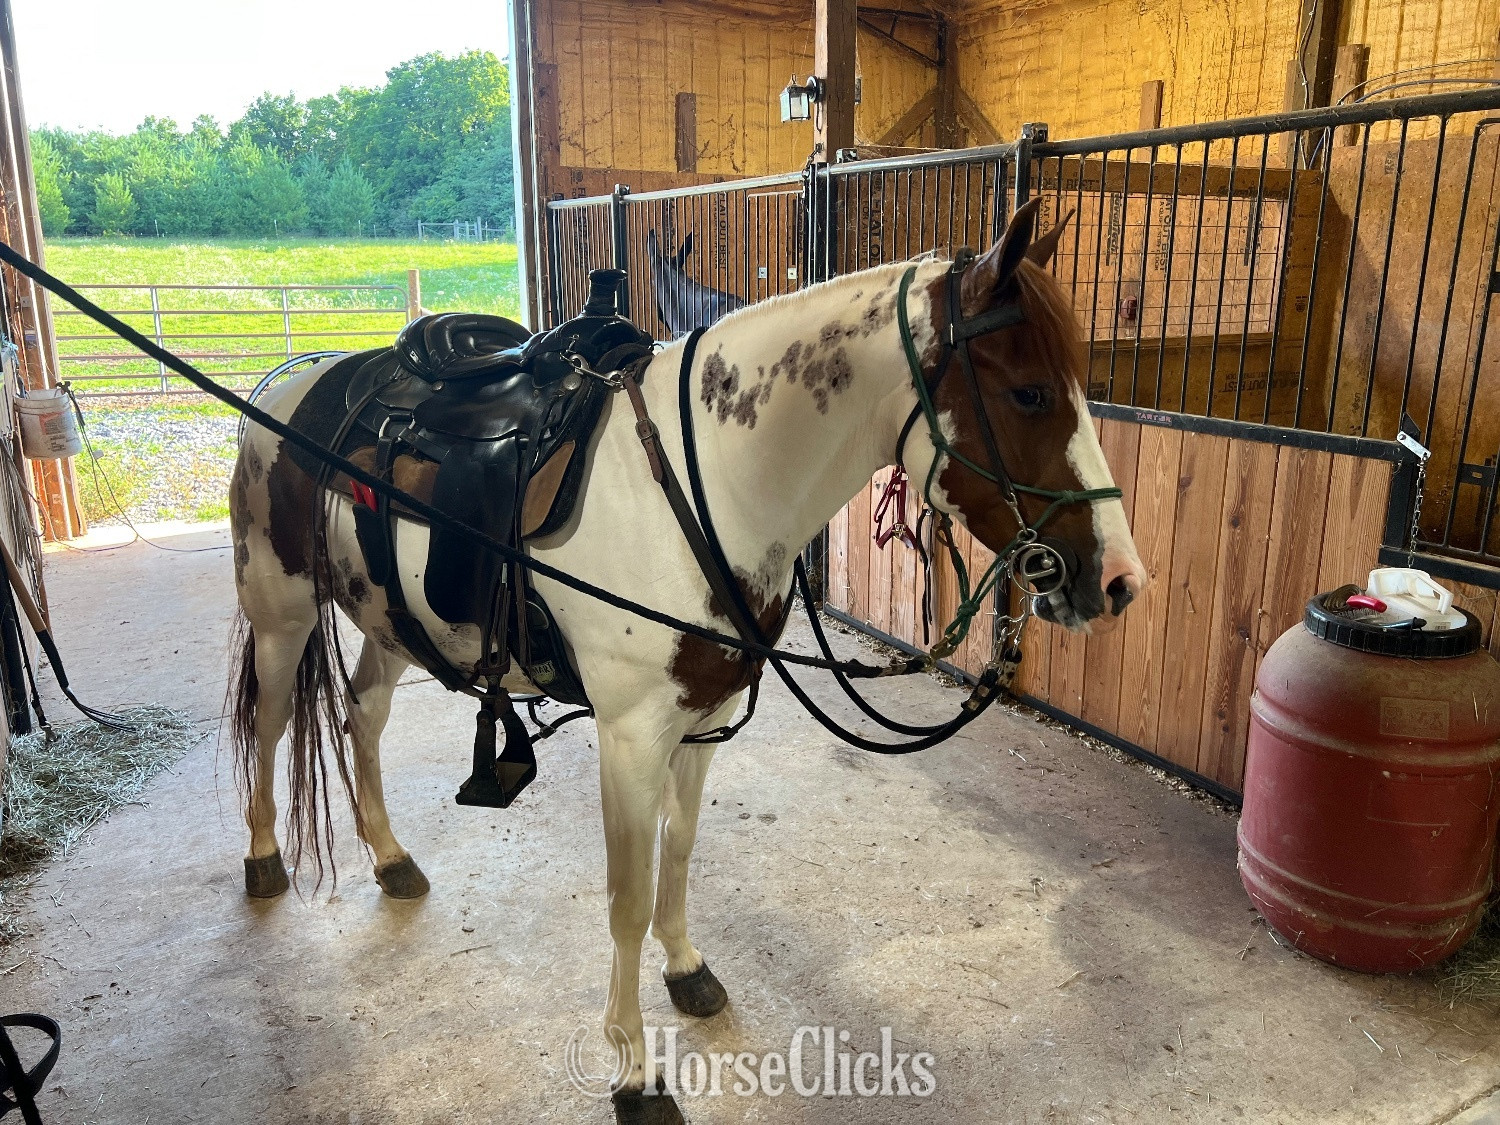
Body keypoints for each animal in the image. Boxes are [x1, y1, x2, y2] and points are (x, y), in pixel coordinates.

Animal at [226, 200, 1147, 1124]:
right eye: (1028, 392)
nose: (1117, 579)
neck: (705, 489)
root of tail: (288, 384)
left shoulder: (702, 721)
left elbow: (681, 849)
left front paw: (686, 967)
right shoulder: (631, 738)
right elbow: (627, 899)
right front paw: (635, 1071)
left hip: (389, 624)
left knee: (362, 715)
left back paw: (389, 855)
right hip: (282, 615)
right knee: (270, 723)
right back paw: (264, 855)